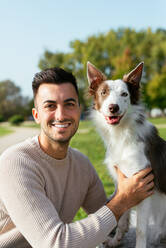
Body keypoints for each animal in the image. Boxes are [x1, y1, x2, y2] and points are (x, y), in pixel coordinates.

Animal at [87, 62, 166, 248]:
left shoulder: (144, 185)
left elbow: (141, 229)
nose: (113, 107)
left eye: (124, 94)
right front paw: (116, 240)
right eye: (103, 92)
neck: (122, 134)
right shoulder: (124, 183)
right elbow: (122, 217)